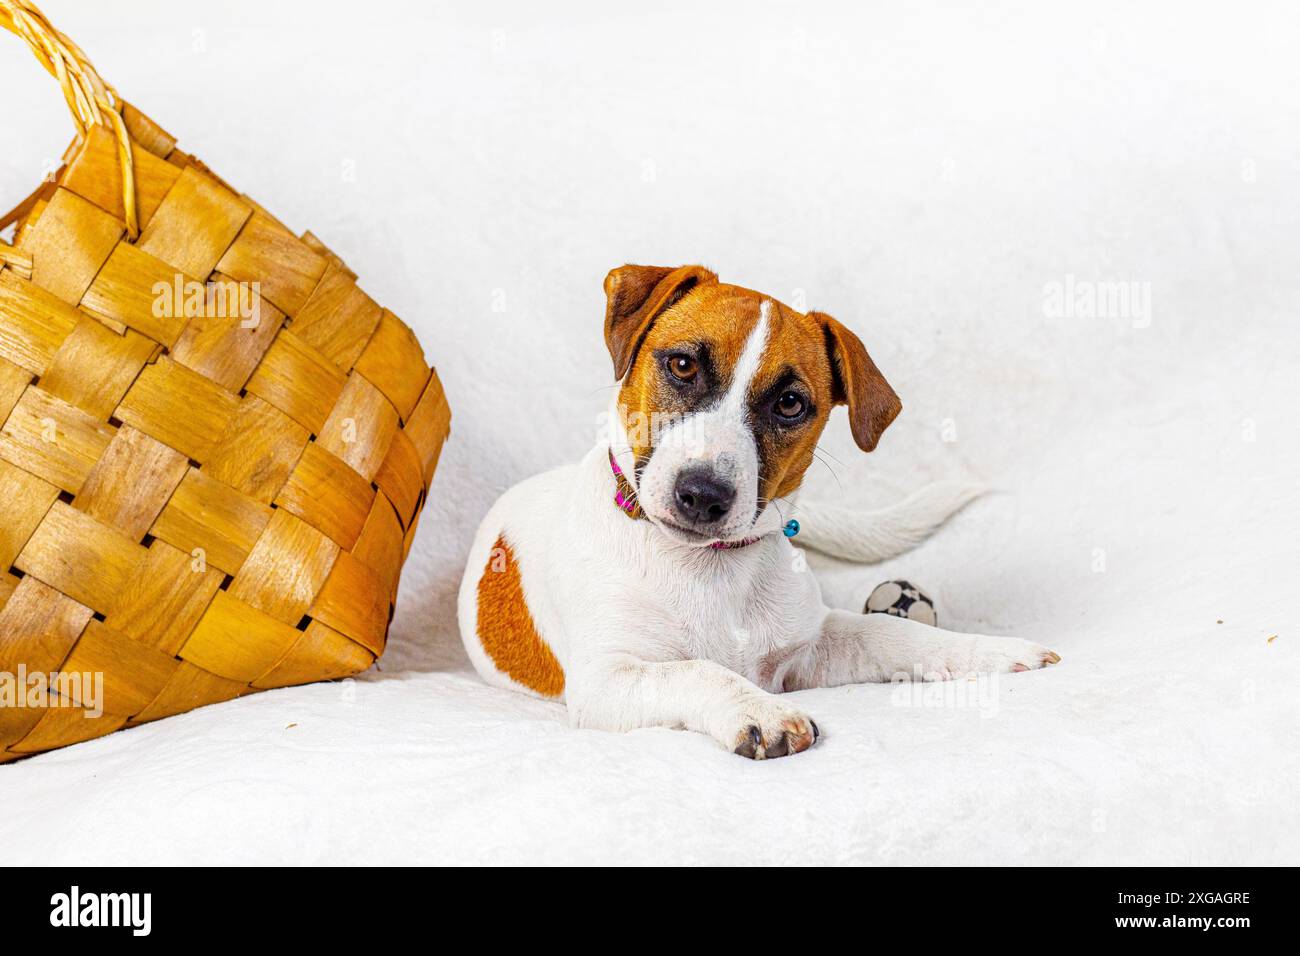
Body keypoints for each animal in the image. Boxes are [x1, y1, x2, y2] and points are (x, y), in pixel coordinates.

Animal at [457, 265, 1055, 759]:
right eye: (681, 364)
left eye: (790, 403)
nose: (703, 494)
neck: (710, 566)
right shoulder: (606, 679)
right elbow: (698, 671)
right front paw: (759, 712)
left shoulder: (811, 648)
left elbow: (889, 632)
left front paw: (990, 651)